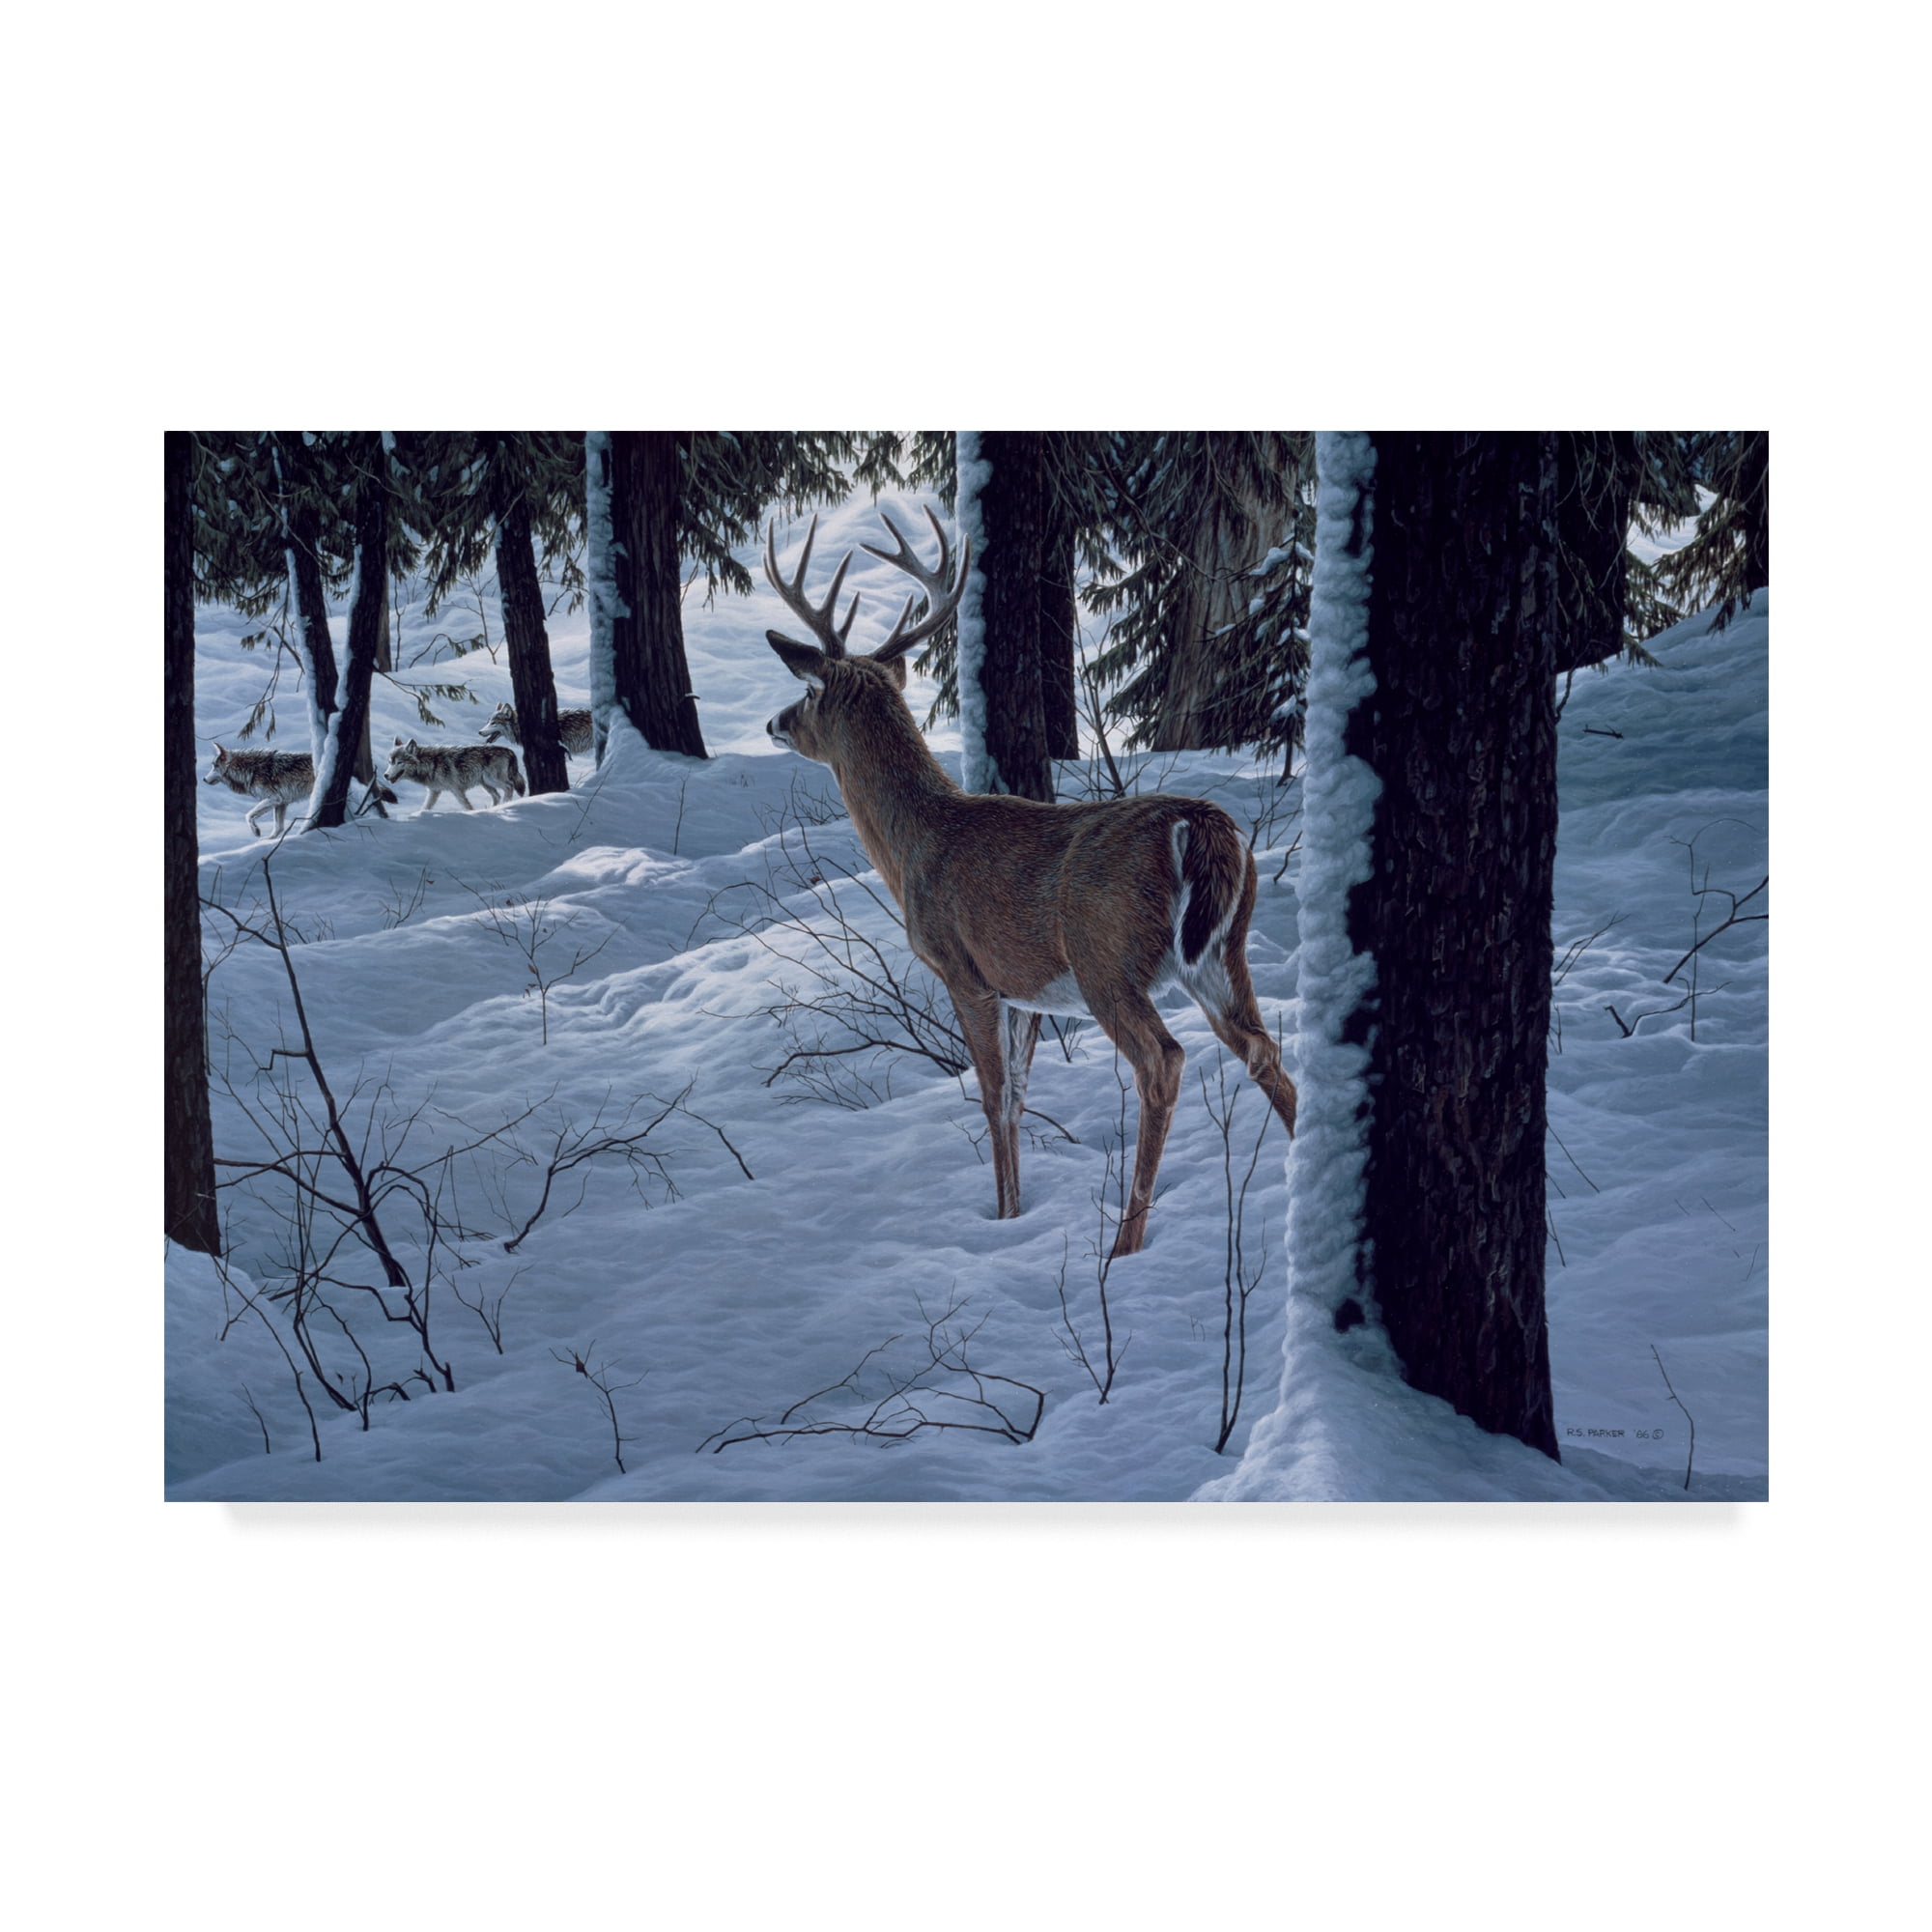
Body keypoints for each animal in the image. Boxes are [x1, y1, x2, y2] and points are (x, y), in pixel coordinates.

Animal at [385, 738, 526, 812]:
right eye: (390, 762)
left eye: (399, 762)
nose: (385, 775)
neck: (431, 764)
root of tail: (509, 750)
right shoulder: (434, 791)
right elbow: (425, 807)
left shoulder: (456, 789)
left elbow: (466, 806)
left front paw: (472, 813)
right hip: (486, 784)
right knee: (497, 795)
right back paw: (492, 809)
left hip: (491, 780)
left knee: (509, 786)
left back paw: (505, 805)